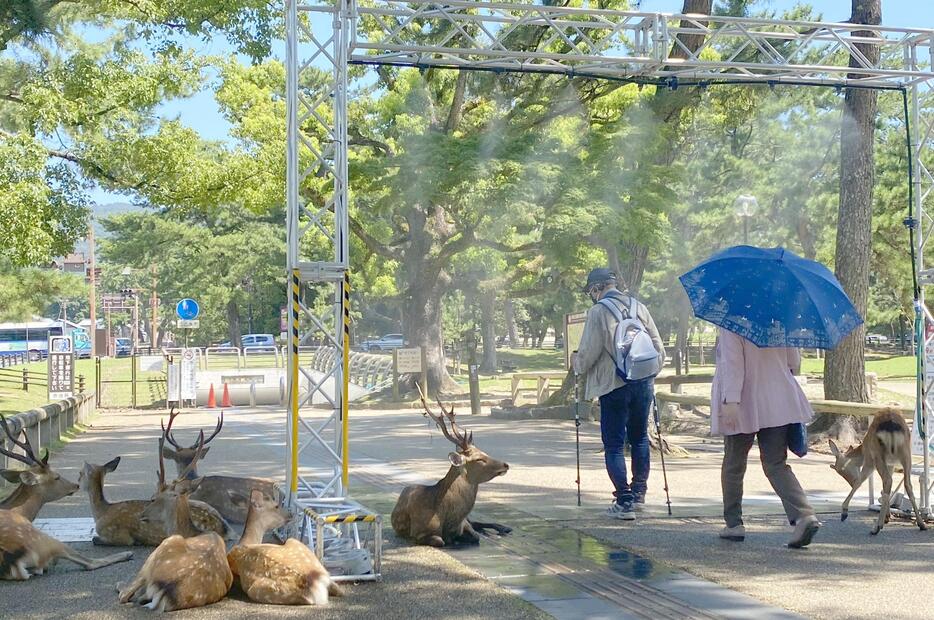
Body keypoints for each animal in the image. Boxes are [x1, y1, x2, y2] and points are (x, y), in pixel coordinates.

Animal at [78, 456, 236, 548]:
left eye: (80, 473)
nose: (77, 484)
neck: (102, 512)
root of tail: (225, 528)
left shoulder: (119, 536)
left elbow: (95, 539)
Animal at [117, 414, 234, 612]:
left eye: (153, 498)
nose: (142, 515)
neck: (189, 532)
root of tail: (167, 590)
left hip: (158, 552)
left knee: (125, 595)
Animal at [394, 386, 516, 548]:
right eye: (479, 459)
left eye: (484, 452)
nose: (505, 464)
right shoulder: (417, 532)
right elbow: (440, 540)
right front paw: (453, 541)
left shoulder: (464, 524)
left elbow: (475, 536)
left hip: (470, 519)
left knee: (478, 523)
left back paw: (504, 528)